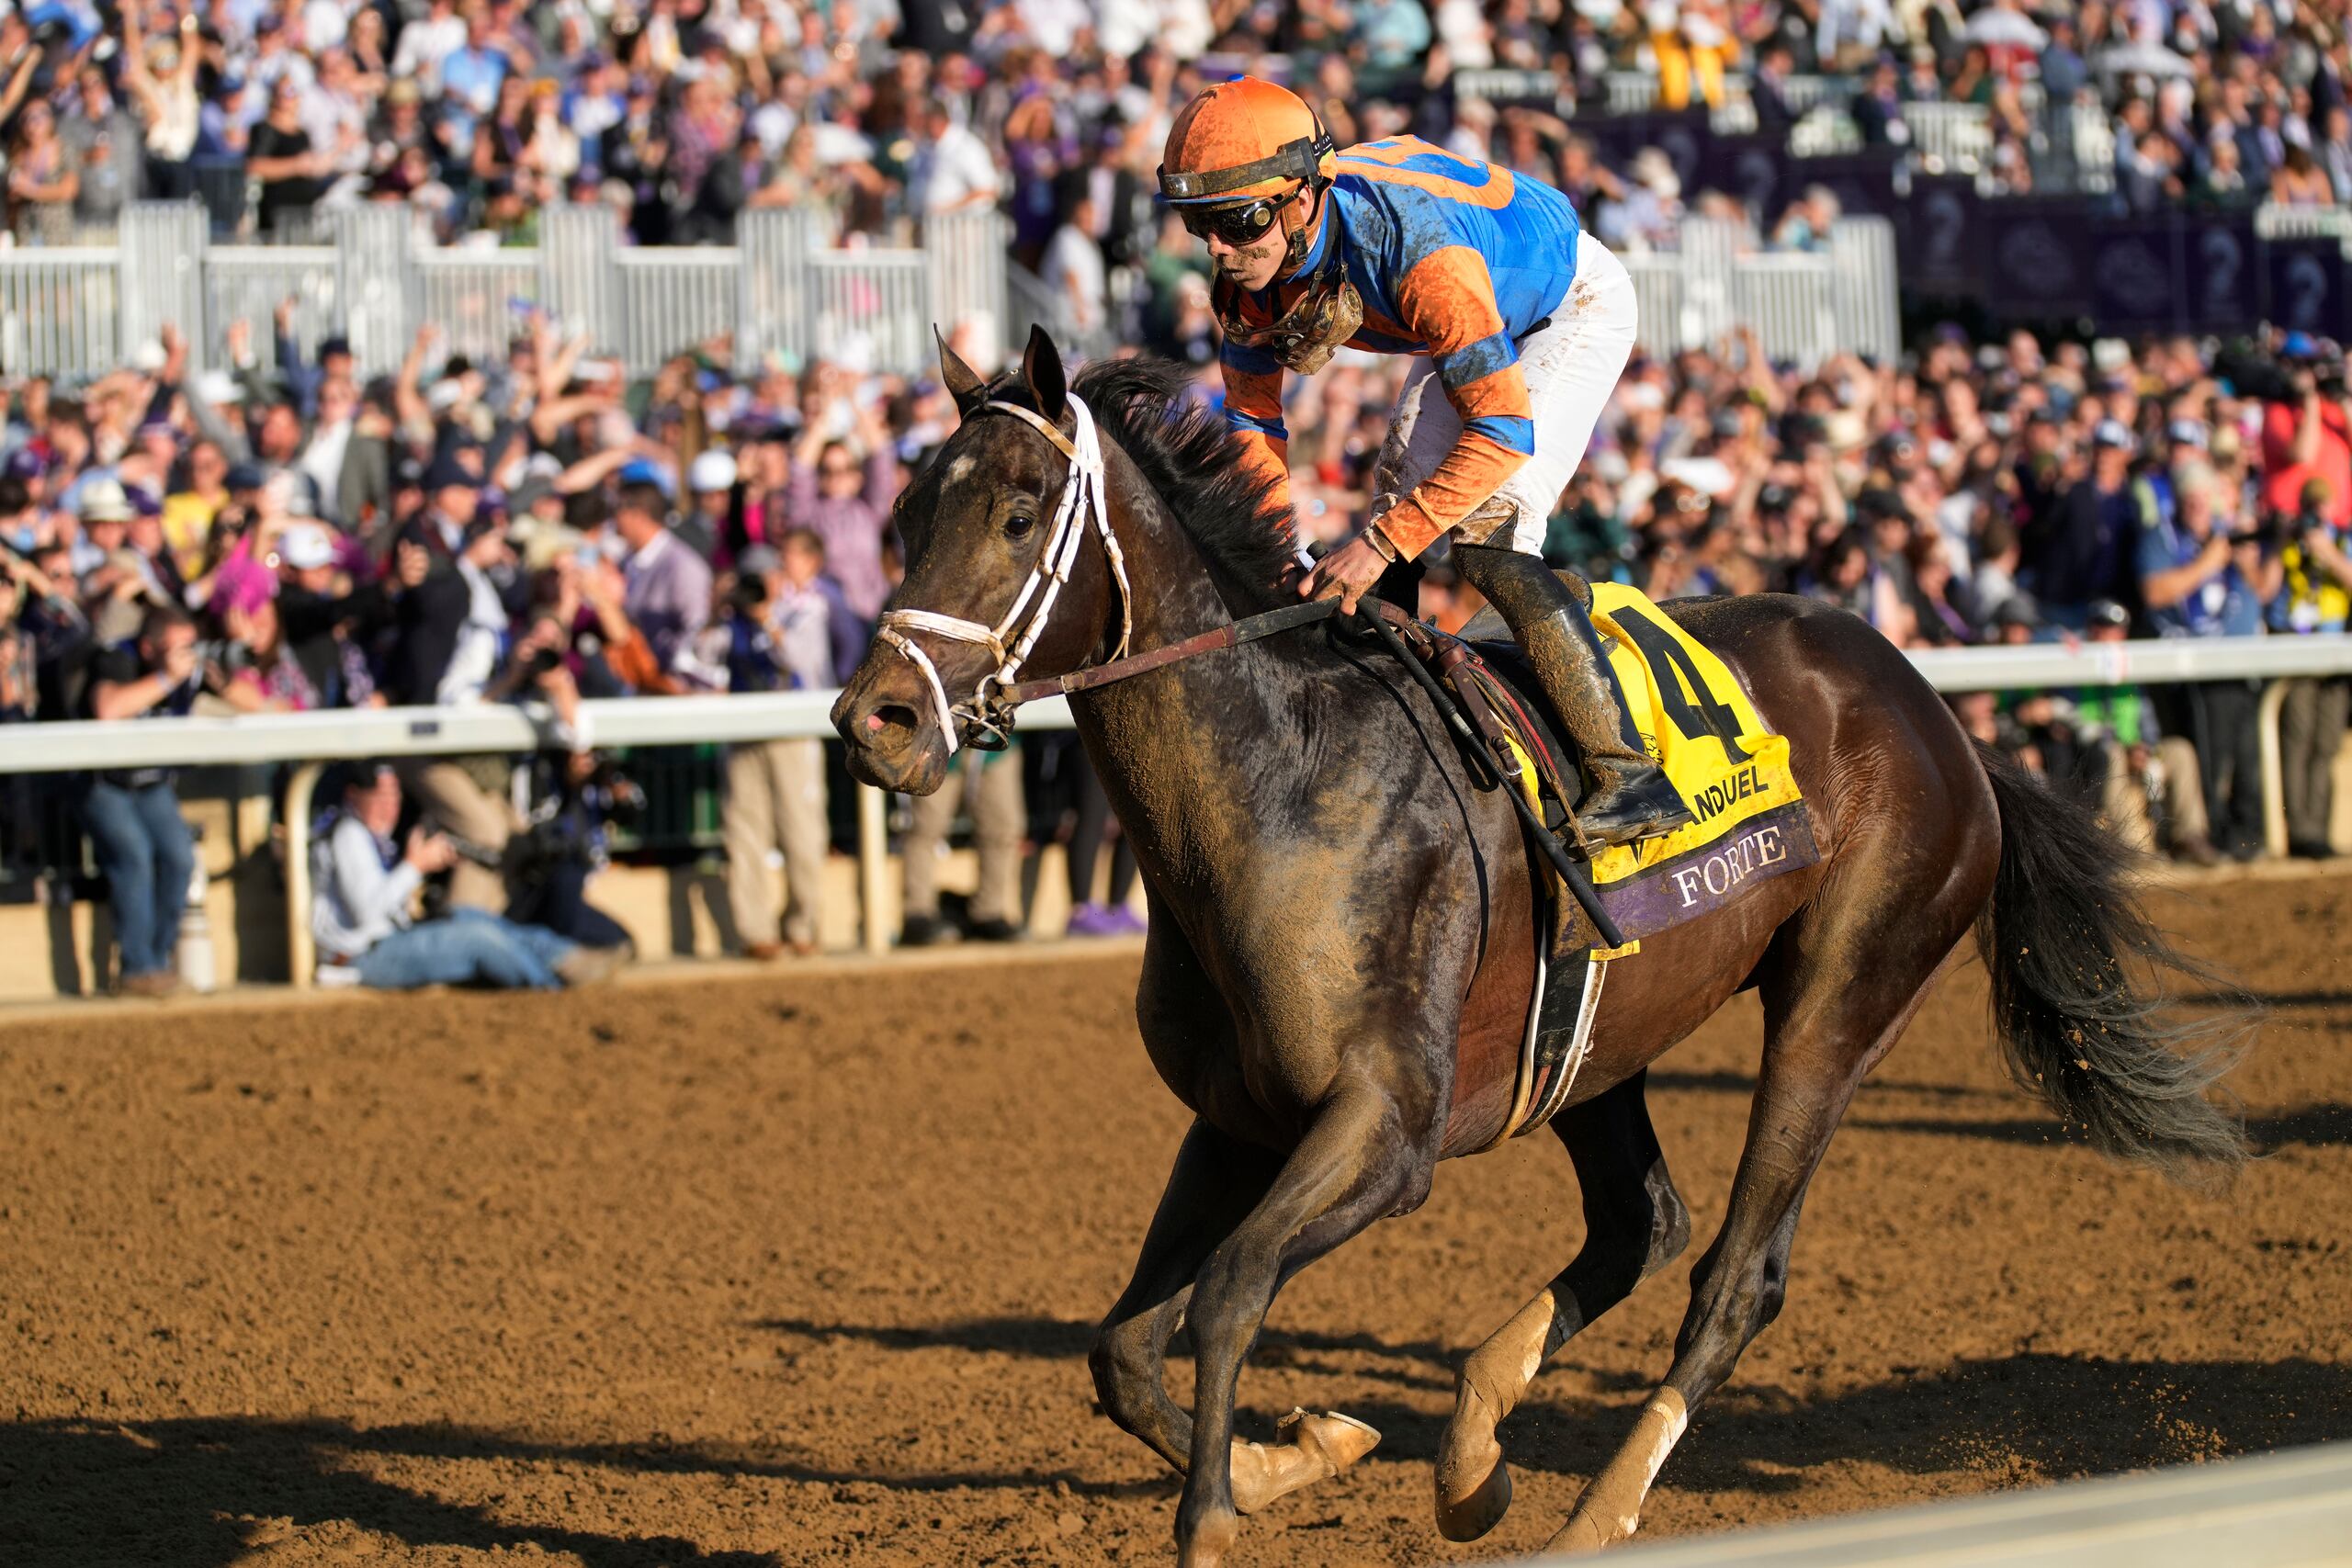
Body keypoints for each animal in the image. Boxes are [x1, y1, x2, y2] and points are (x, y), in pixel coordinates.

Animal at [828, 329, 2239, 1561]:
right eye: (900, 512)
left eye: (1019, 513)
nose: (874, 720)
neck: (1280, 781)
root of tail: (1938, 710)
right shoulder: (1236, 1118)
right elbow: (1122, 1349)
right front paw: (1305, 1453)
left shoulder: (1386, 1131)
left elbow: (1227, 1290)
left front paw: (1226, 1511)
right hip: (1597, 1040)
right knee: (1642, 1223)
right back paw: (1473, 1450)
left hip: (1845, 997)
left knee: (1734, 1273)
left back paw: (1591, 1514)